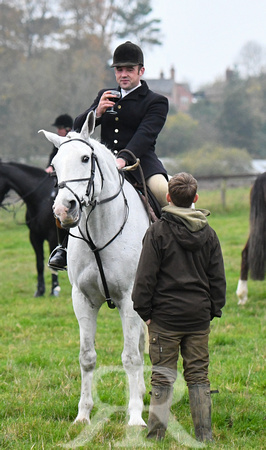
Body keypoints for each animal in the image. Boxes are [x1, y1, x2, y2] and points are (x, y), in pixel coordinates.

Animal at [0, 162, 65, 296]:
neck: (41, 198)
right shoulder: (35, 236)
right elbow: (39, 264)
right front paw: (40, 291)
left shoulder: (52, 236)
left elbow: (52, 265)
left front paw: (54, 289)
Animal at [39, 110, 150, 426]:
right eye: (55, 165)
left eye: (85, 158)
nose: (64, 209)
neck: (100, 232)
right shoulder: (82, 299)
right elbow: (87, 357)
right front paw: (83, 415)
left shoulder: (129, 299)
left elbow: (130, 357)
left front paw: (135, 418)